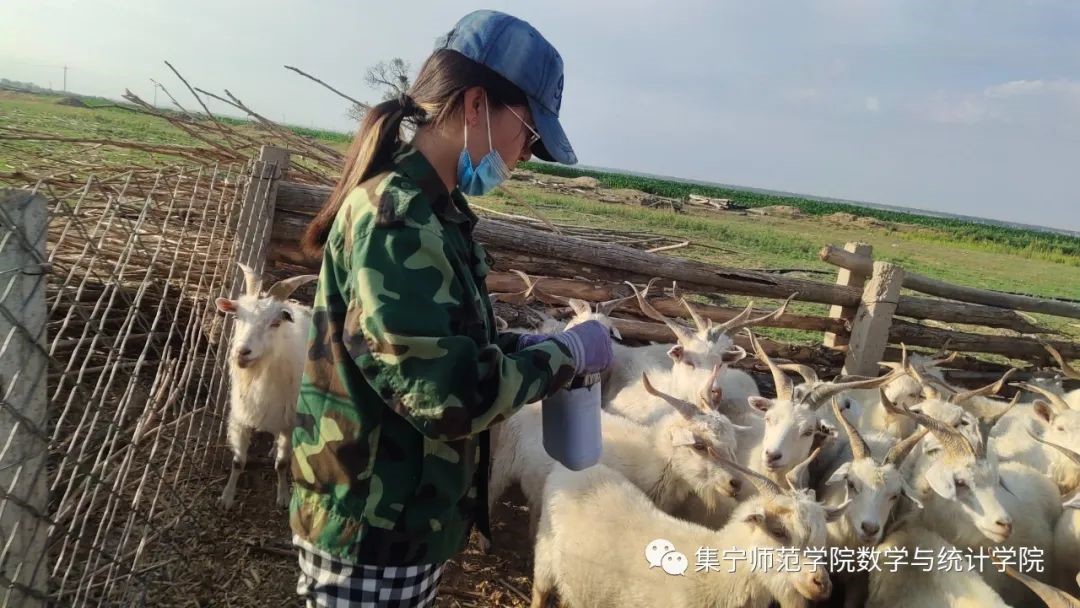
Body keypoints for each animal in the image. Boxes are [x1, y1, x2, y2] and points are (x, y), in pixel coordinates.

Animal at [214, 264, 317, 509]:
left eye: (275, 322)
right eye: (237, 316)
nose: (242, 352)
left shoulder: (289, 422)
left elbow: (282, 464)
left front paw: (283, 496)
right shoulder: (240, 417)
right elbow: (238, 461)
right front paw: (227, 497)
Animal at [530, 448, 847, 608]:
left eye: (822, 541)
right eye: (779, 532)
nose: (822, 585)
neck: (712, 576)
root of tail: (572, 467)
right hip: (545, 553)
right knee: (540, 591)